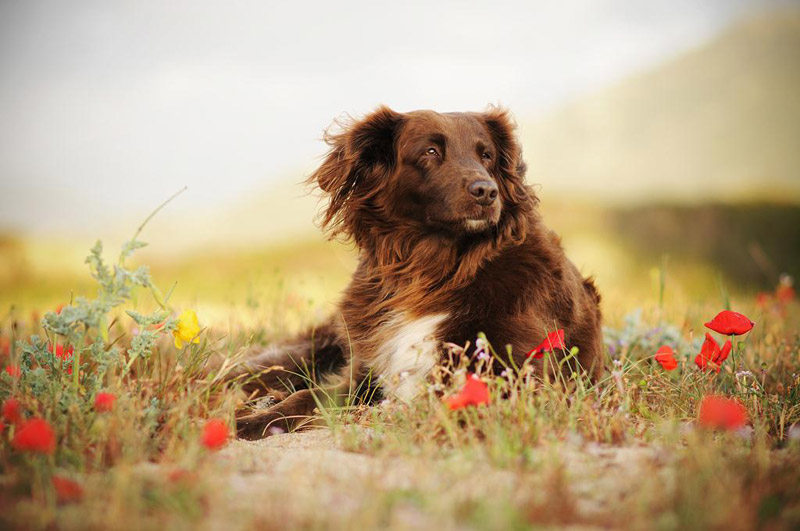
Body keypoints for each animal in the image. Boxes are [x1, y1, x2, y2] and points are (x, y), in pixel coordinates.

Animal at [234, 106, 604, 438]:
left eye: (486, 155)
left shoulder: (518, 382)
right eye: (431, 151)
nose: (487, 191)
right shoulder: (364, 374)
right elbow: (307, 397)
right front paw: (252, 422)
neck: (433, 271)